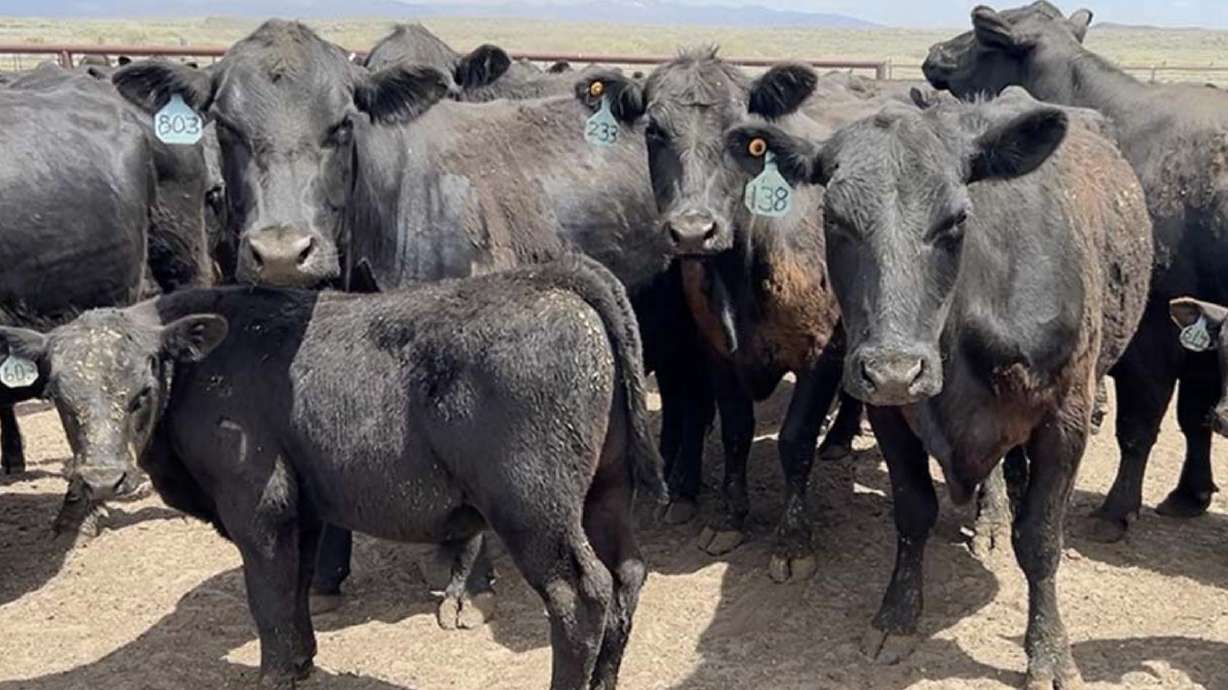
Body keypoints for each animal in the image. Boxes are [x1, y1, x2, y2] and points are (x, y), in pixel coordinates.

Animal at [0, 254, 663, 690]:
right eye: (57, 395)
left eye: (141, 392)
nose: (103, 478)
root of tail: (549, 276)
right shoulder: (304, 507)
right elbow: (295, 586)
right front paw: (301, 661)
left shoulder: (257, 506)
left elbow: (267, 596)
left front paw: (273, 675)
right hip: (604, 491)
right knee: (626, 573)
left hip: (533, 507)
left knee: (581, 593)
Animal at [569, 50, 913, 581]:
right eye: (653, 131)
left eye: (745, 138)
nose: (693, 230)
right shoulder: (717, 354)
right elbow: (735, 431)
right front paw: (729, 518)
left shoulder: (821, 353)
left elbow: (794, 441)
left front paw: (792, 541)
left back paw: (838, 436)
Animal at [722, 85, 1152, 688]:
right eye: (833, 218)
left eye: (956, 219)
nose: (895, 369)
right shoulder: (890, 414)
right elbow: (914, 512)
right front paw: (897, 616)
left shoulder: (1064, 417)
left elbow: (1041, 539)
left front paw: (1049, 653)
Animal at [922, 1, 1228, 543]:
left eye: (983, 33)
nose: (934, 52)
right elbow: (1195, 416)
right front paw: (1189, 494)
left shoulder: (1155, 330)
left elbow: (1142, 423)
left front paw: (1118, 509)